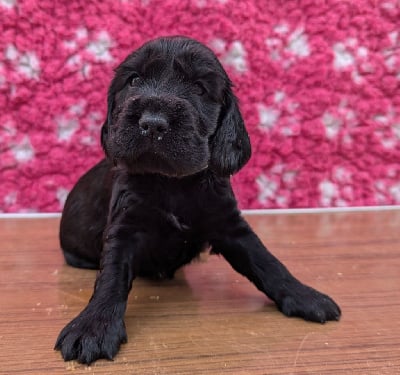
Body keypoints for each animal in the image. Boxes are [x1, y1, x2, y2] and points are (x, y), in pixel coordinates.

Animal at [54, 35, 340, 364]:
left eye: (200, 89)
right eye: (134, 80)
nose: (153, 123)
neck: (172, 182)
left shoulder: (228, 224)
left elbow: (266, 260)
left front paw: (306, 296)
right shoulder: (124, 224)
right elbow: (111, 275)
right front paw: (93, 326)